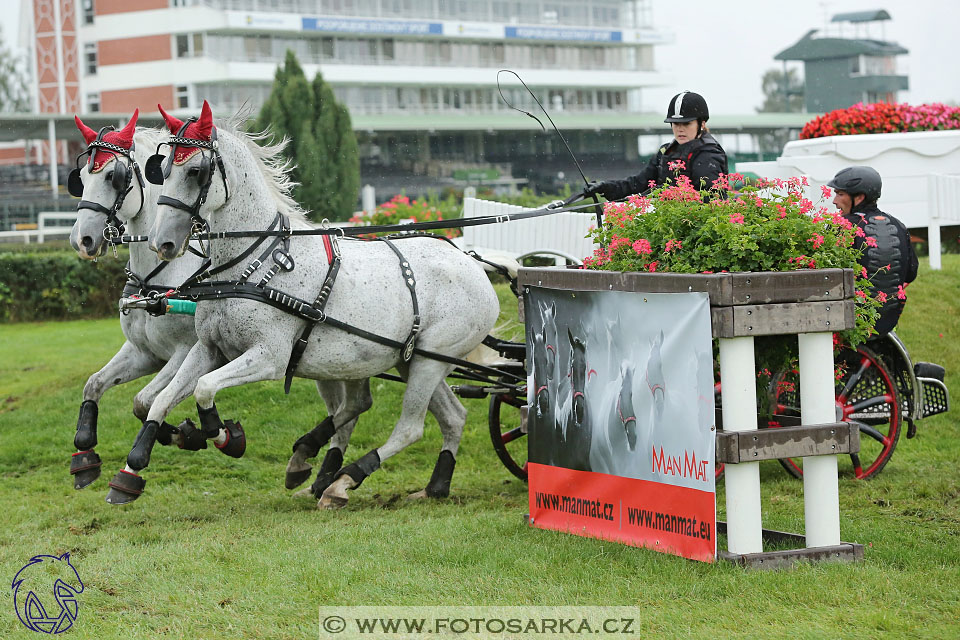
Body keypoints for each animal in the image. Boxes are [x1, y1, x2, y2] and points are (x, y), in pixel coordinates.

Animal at [107, 101, 496, 510]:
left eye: (195, 171)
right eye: (162, 170)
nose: (162, 242)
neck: (253, 263)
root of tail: (471, 261)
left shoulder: (269, 356)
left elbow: (204, 389)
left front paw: (223, 435)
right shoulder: (208, 349)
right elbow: (162, 399)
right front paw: (130, 471)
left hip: (429, 360)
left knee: (409, 428)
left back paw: (343, 481)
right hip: (411, 360)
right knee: (451, 417)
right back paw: (434, 484)